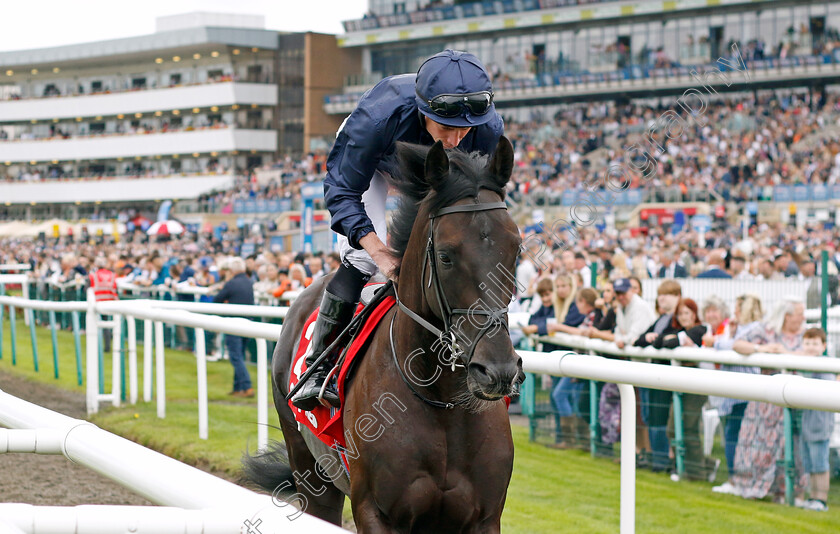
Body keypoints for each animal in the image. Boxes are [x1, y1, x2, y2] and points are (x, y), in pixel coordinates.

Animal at [244, 139, 524, 534]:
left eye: (516, 249)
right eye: (445, 256)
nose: (497, 370)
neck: (444, 405)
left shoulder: (483, 518)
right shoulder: (375, 512)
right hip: (310, 471)